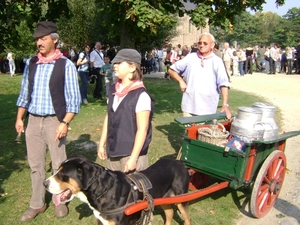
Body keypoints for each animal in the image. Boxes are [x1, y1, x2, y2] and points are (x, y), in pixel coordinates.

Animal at [43, 156, 191, 225]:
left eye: (63, 174)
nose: (44, 183)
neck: (103, 191)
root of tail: (179, 162)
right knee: (170, 213)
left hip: (181, 200)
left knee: (186, 218)